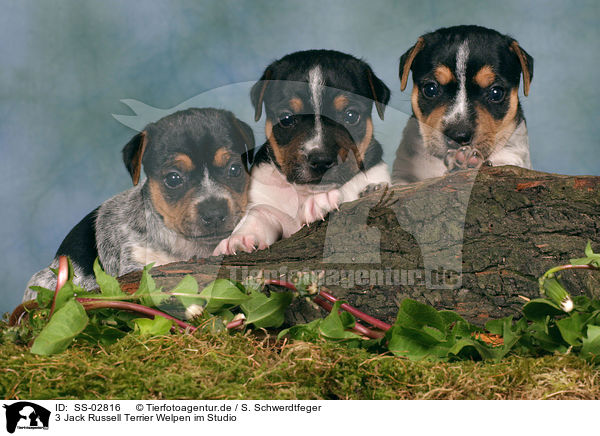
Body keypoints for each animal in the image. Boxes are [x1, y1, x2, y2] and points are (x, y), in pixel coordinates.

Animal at [213, 49, 392, 255]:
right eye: (286, 118)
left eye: (351, 115)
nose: (321, 160)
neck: (301, 193)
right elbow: (258, 212)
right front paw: (240, 237)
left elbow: (353, 182)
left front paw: (322, 199)